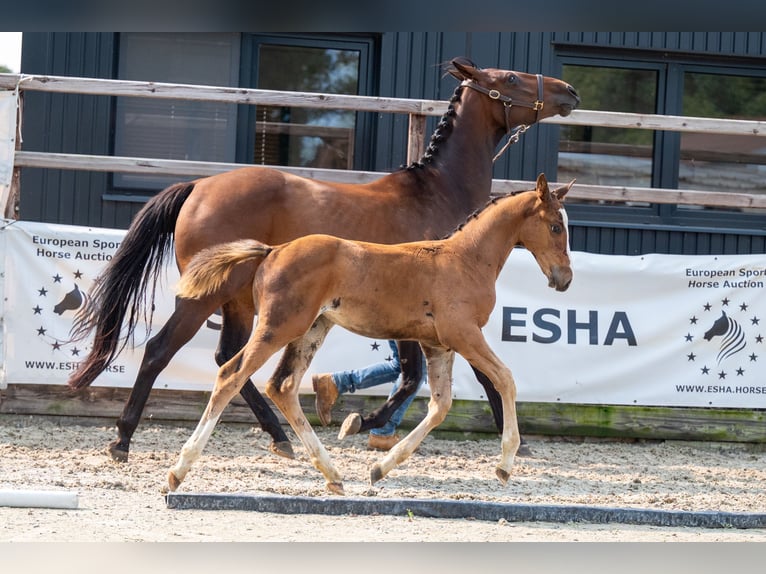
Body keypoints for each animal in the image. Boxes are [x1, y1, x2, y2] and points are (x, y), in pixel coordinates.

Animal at [170, 174, 576, 496]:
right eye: (556, 226)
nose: (565, 278)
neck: (464, 259)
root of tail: (273, 250)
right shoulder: (463, 334)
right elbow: (505, 379)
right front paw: (505, 465)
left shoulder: (438, 344)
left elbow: (440, 405)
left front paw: (379, 469)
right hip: (279, 327)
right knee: (231, 375)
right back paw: (178, 471)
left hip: (312, 329)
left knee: (283, 386)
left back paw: (332, 474)